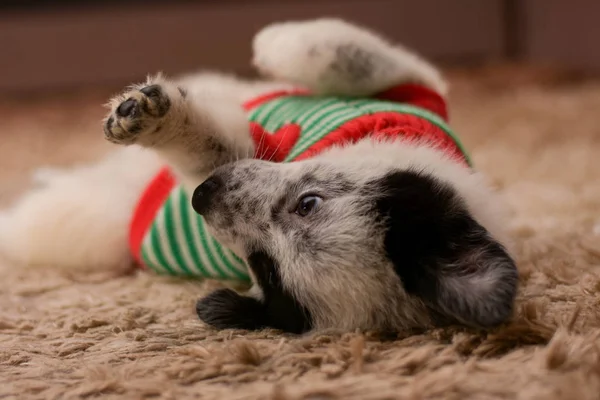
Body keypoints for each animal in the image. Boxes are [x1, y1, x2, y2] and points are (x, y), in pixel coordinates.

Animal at [0, 19, 516, 334]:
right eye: (309, 202)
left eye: (264, 266)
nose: (201, 197)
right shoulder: (417, 87)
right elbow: (341, 51)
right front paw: (275, 43)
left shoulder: (222, 162)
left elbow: (208, 147)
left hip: (71, 222)